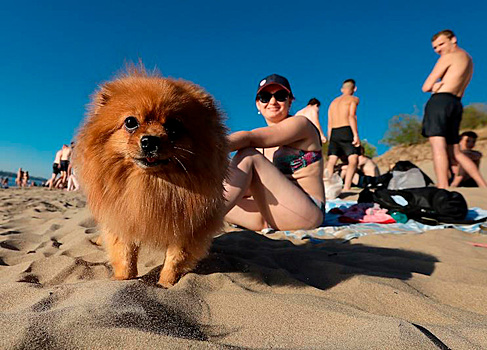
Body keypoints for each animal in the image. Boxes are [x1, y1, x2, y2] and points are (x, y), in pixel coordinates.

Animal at [73, 65, 230, 288]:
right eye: (130, 122)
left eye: (173, 127)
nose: (150, 140)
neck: (149, 185)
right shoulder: (123, 217)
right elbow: (125, 256)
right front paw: (122, 279)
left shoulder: (187, 227)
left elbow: (175, 259)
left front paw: (166, 284)